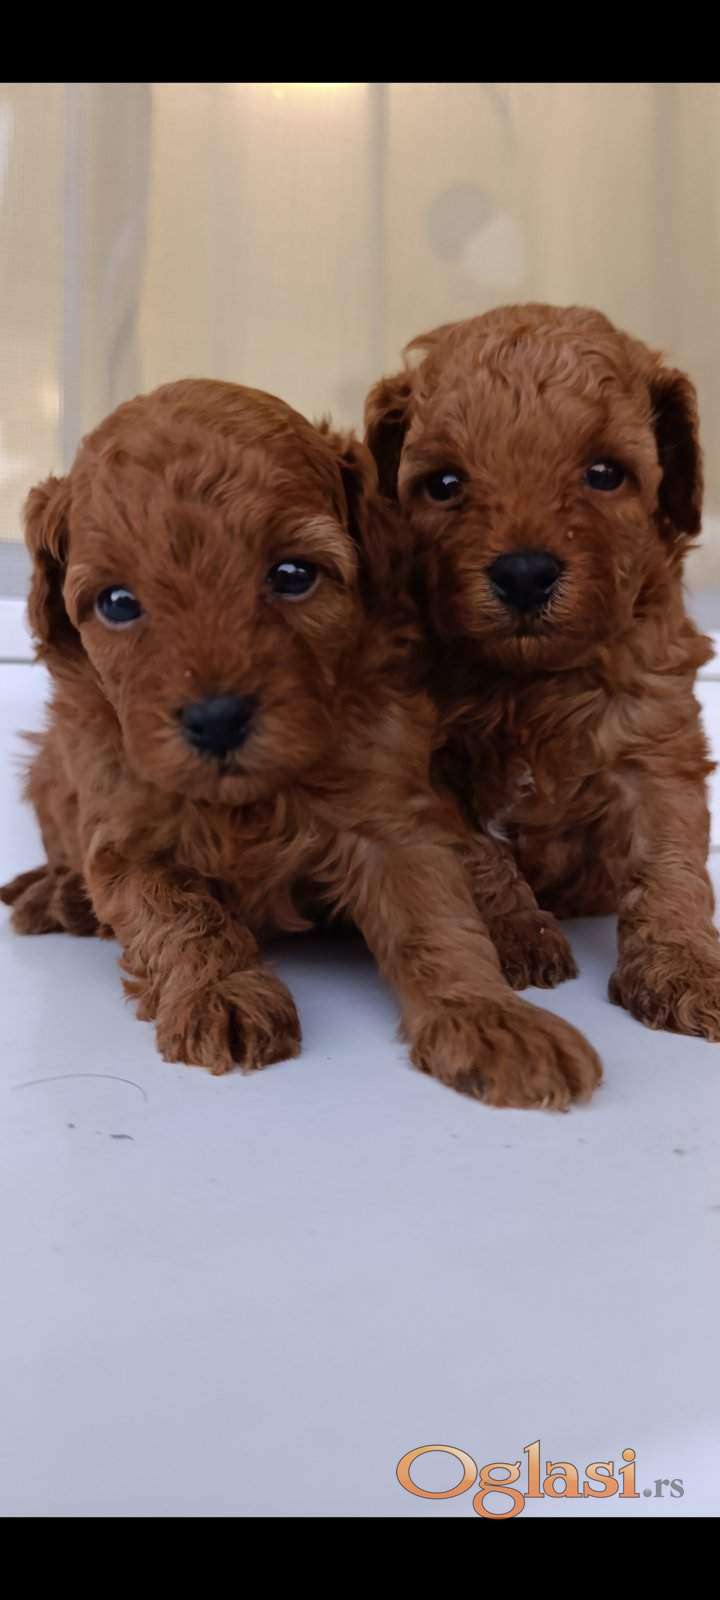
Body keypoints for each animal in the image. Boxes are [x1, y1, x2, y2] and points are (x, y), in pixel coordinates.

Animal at [0, 379, 601, 1106]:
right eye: (117, 603)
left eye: (292, 575)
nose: (217, 719)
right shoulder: (126, 833)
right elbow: (176, 916)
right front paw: (223, 991)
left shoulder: (391, 816)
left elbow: (436, 919)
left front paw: (489, 1017)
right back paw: (56, 894)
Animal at [364, 303, 720, 1038]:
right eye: (445, 485)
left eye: (606, 473)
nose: (524, 573)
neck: (530, 681)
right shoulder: (425, 761)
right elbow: (476, 854)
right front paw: (515, 937)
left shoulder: (656, 735)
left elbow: (670, 860)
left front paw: (685, 968)